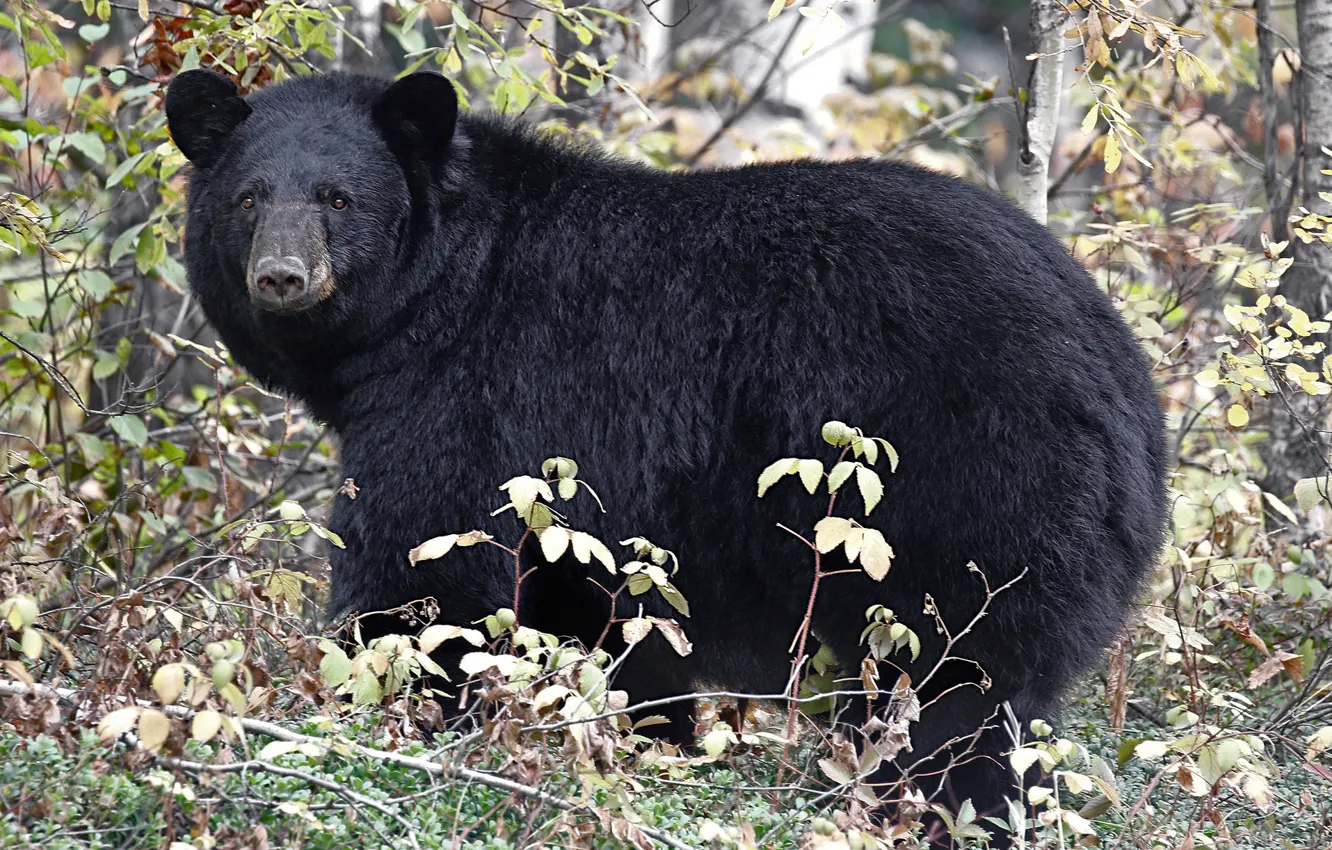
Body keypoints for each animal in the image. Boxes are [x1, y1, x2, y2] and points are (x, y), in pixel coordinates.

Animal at [164, 68, 1168, 841]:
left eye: (339, 198)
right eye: (249, 198)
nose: (282, 276)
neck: (440, 301)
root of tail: (1132, 404)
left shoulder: (471, 400)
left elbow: (425, 576)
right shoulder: (597, 516)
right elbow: (604, 625)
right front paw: (652, 746)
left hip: (969, 502)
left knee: (955, 698)